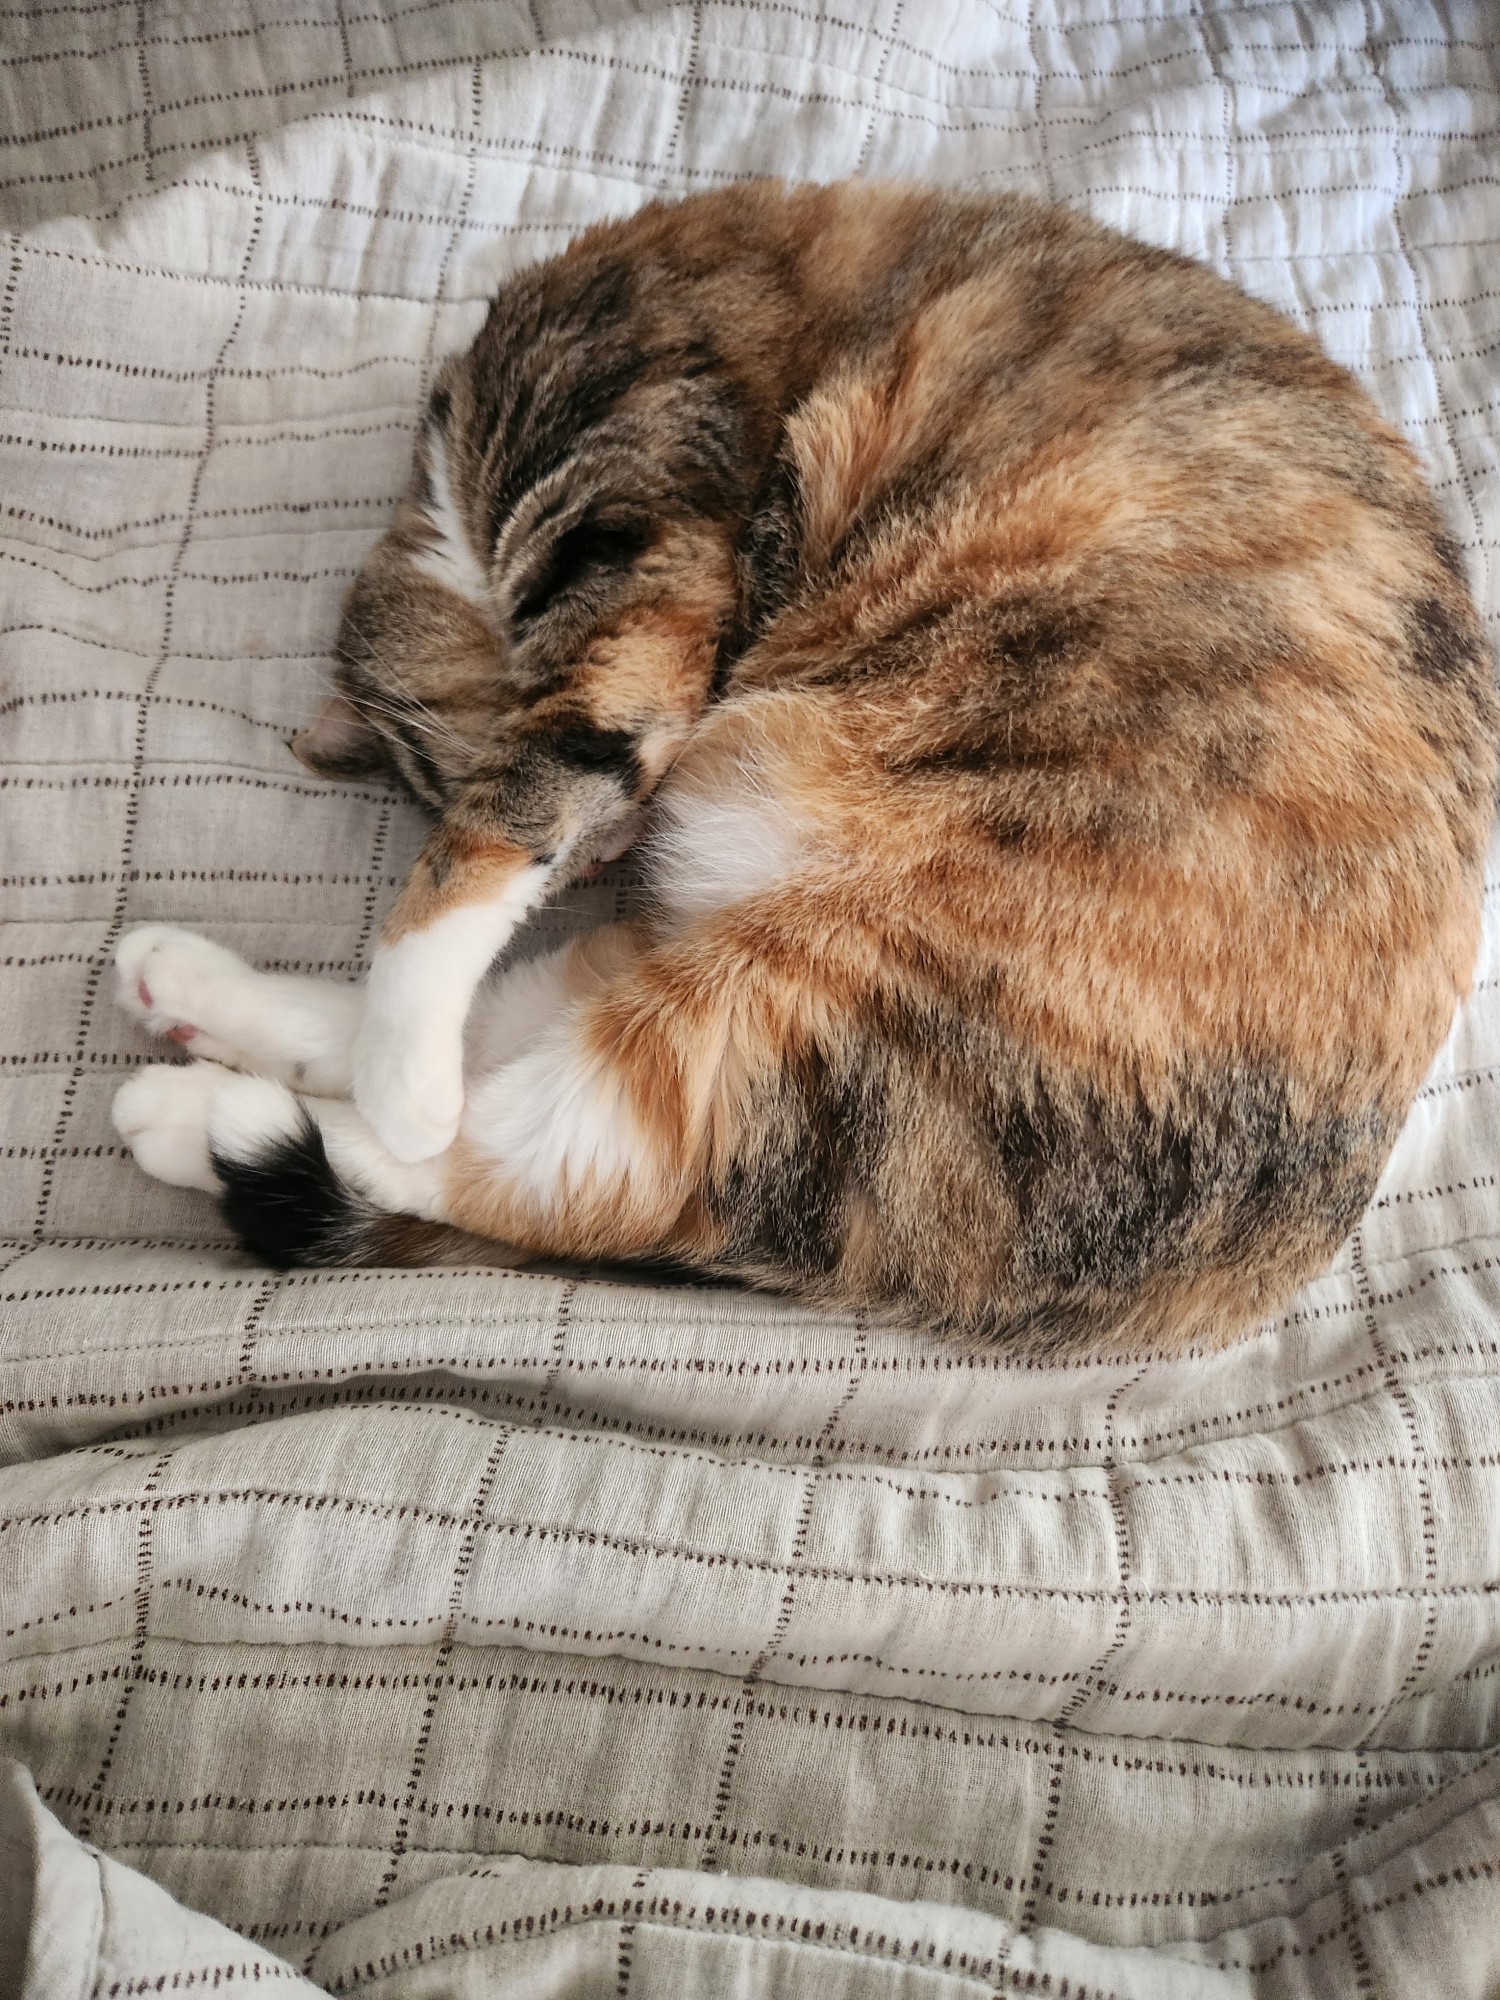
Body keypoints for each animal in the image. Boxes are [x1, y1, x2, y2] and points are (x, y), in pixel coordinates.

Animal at [110, 181, 1496, 1354]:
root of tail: (1247, 1269)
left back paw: (220, 1112)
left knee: (563, 1162)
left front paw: (408, 1069)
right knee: (527, 1058)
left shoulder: (635, 536)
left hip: (878, 992)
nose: (616, 849)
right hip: (797, 975)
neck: (453, 488)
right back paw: (189, 1001)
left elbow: (492, 837)